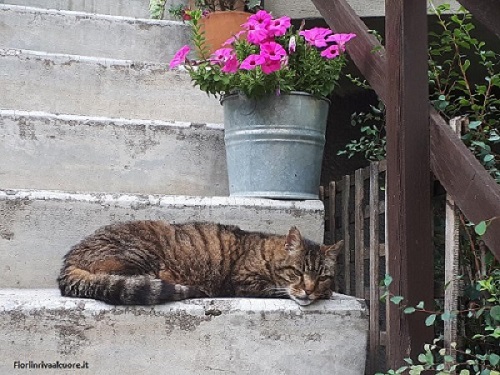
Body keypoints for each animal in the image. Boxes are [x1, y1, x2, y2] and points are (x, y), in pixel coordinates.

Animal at [56, 222, 342, 306]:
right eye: (297, 272)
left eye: (322, 276)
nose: (309, 290)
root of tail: (68, 259)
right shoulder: (245, 281)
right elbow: (276, 290)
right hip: (140, 255)